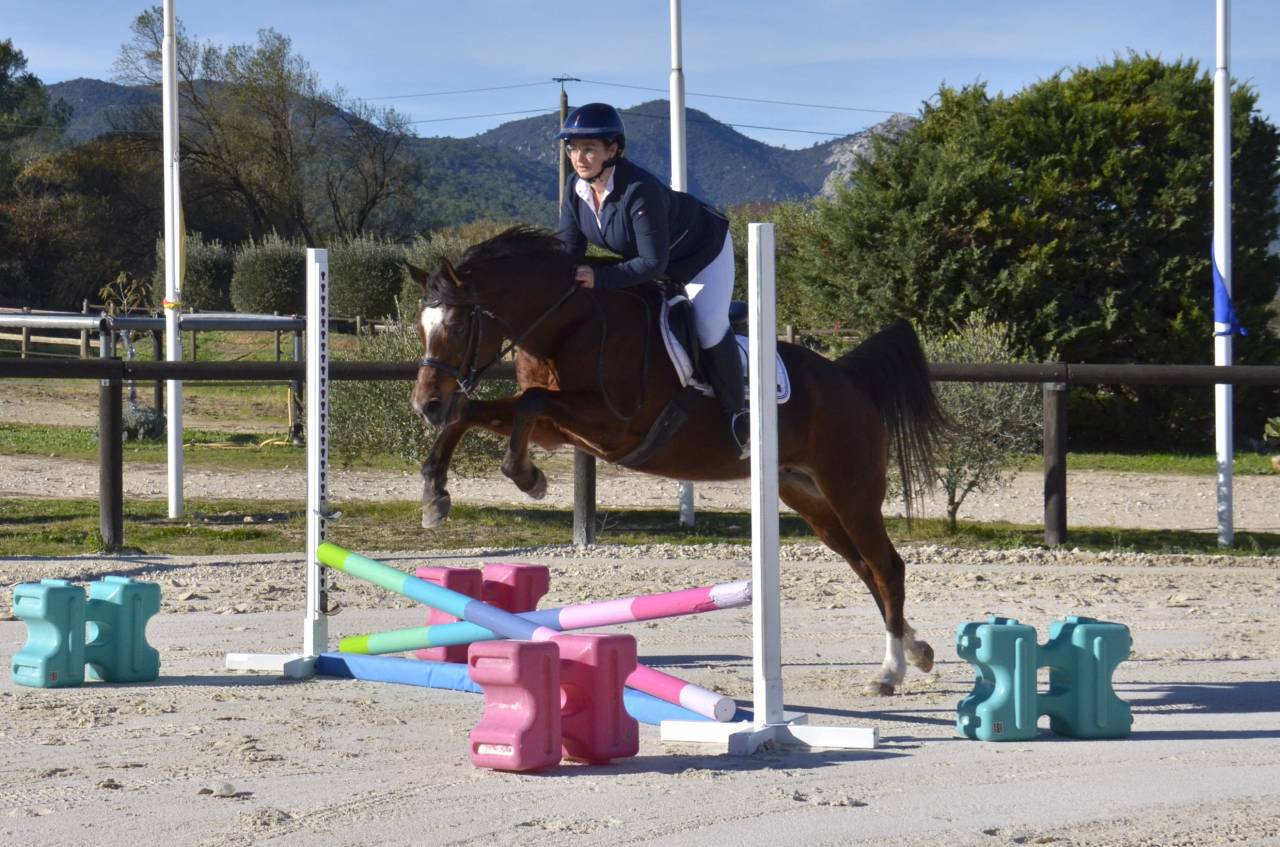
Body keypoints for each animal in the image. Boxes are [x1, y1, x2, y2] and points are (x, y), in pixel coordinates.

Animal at [406, 226, 948, 696]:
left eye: (456, 325)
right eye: (421, 326)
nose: (425, 405)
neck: (569, 325)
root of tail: (850, 380)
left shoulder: (611, 424)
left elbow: (529, 402)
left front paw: (527, 477)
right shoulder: (560, 430)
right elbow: (481, 412)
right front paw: (435, 496)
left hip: (851, 490)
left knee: (887, 566)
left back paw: (890, 671)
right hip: (810, 498)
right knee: (864, 566)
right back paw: (916, 649)